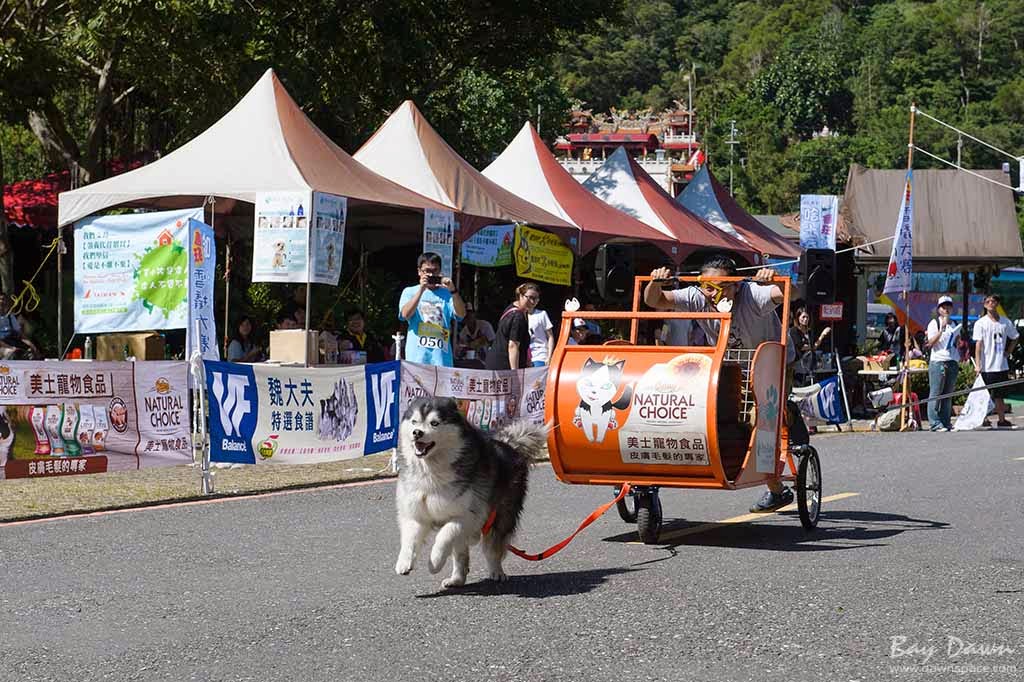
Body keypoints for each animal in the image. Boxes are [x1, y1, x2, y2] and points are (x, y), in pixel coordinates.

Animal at [395, 395, 548, 585]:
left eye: (434, 423)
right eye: (414, 421)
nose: (417, 432)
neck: (431, 471)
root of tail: (510, 446)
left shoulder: (469, 516)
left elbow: (444, 535)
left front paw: (435, 562)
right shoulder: (416, 513)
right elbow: (410, 539)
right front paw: (404, 562)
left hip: (500, 518)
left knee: (492, 549)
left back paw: (497, 572)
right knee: (461, 554)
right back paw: (456, 579)